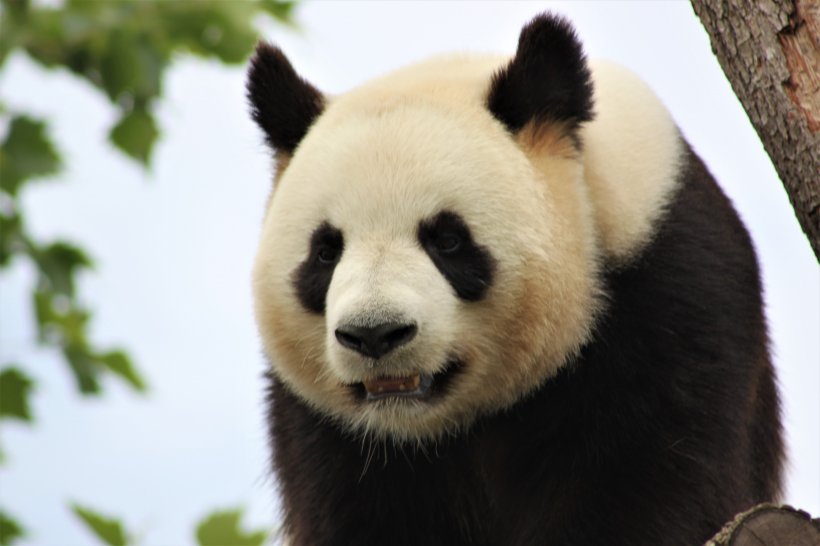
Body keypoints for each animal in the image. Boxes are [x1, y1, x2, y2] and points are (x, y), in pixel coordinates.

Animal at [247, 12, 784, 544]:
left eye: (448, 240)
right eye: (325, 252)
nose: (375, 334)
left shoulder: (668, 290)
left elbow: (656, 472)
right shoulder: (331, 430)